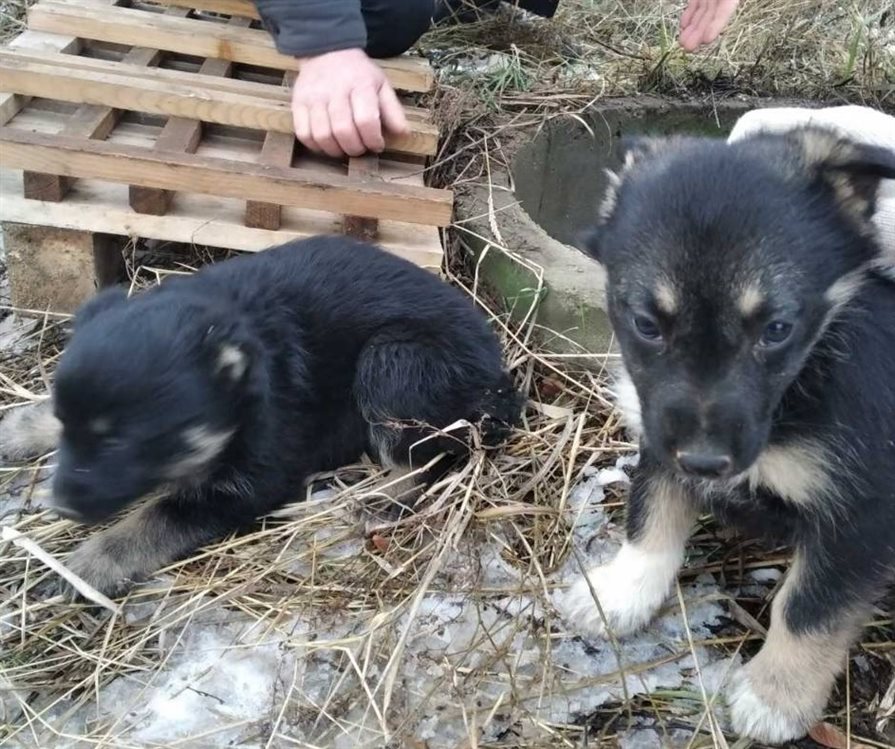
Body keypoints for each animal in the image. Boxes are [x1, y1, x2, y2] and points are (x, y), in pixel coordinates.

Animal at [0, 237, 520, 600]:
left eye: (122, 443)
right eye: (68, 424)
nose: (62, 506)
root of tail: (501, 385)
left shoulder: (247, 482)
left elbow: (154, 518)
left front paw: (86, 566)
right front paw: (18, 430)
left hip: (394, 362)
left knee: (421, 467)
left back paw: (360, 500)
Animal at [560, 125, 895, 740]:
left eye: (778, 328)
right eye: (646, 324)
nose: (704, 463)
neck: (798, 393)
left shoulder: (862, 512)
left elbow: (810, 607)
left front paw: (777, 696)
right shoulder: (659, 439)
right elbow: (650, 518)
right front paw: (620, 594)